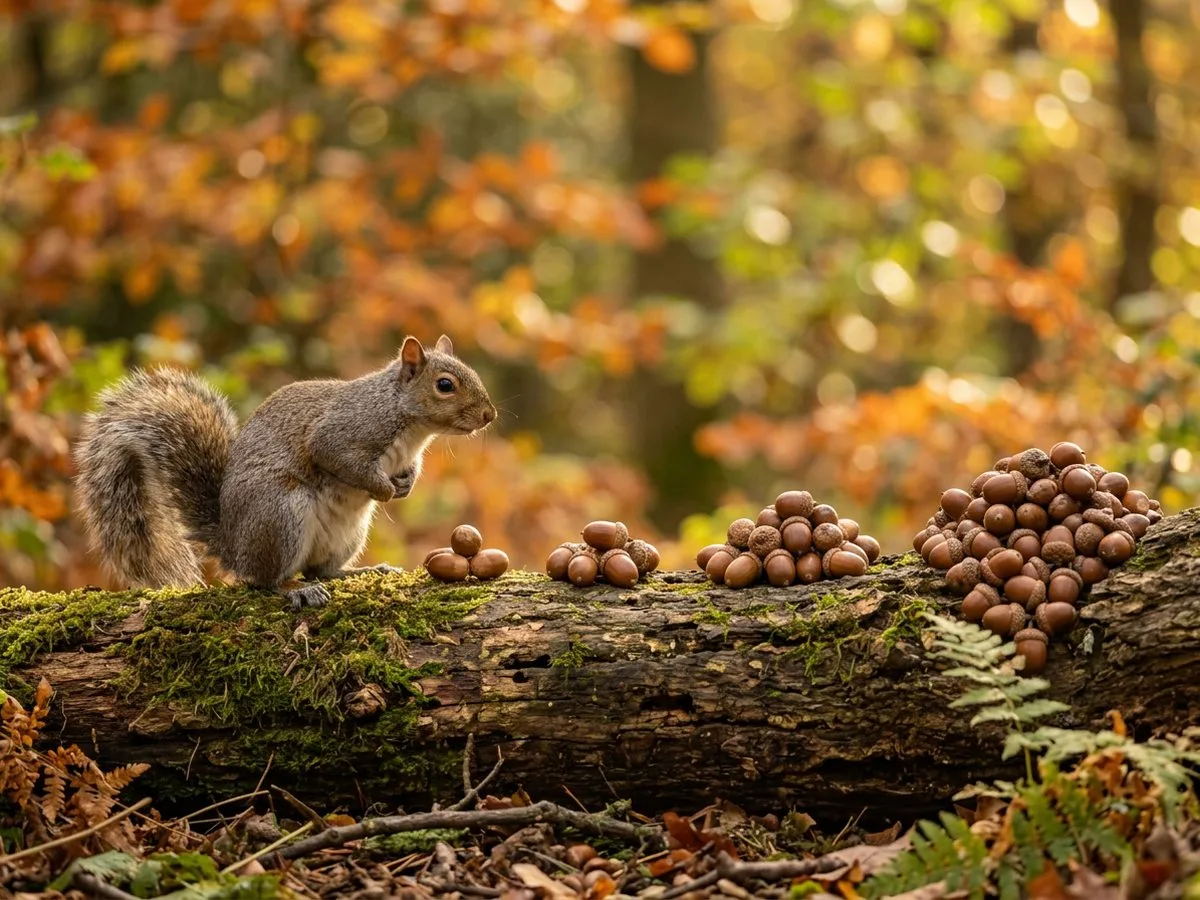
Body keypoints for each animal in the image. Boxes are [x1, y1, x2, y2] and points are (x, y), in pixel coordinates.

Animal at [74, 335, 497, 609]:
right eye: (445, 385)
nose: (489, 415)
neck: (412, 427)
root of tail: (234, 548)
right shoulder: (343, 431)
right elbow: (337, 457)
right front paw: (383, 490)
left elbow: (409, 471)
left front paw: (405, 484)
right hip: (281, 513)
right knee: (266, 581)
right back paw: (294, 589)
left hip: (348, 534)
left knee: (321, 571)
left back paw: (362, 572)